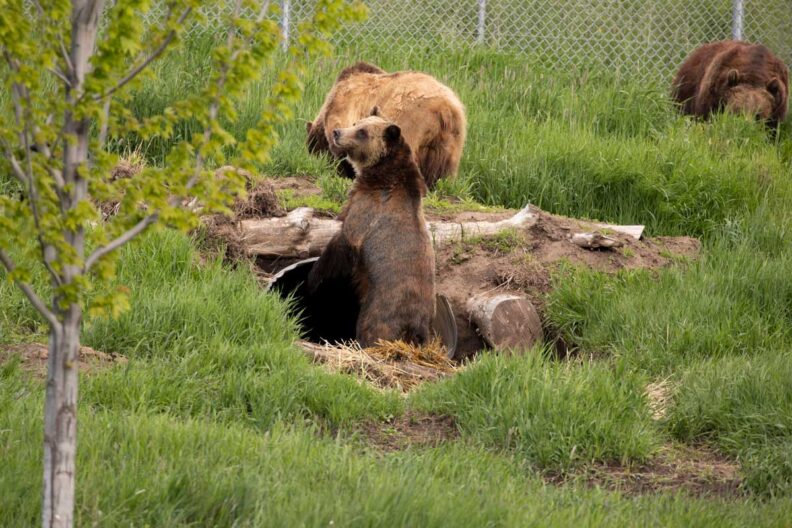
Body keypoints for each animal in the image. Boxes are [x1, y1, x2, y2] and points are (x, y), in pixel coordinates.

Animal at [306, 61, 467, 188]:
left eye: (312, 149)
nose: (316, 161)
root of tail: (444, 109)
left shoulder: (342, 110)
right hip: (451, 140)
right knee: (444, 171)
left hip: (408, 120)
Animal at [306, 111, 436, 347]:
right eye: (356, 122)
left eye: (362, 132)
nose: (337, 133)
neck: (381, 174)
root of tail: (415, 326)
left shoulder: (366, 212)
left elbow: (341, 242)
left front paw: (313, 277)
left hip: (380, 308)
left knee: (371, 328)